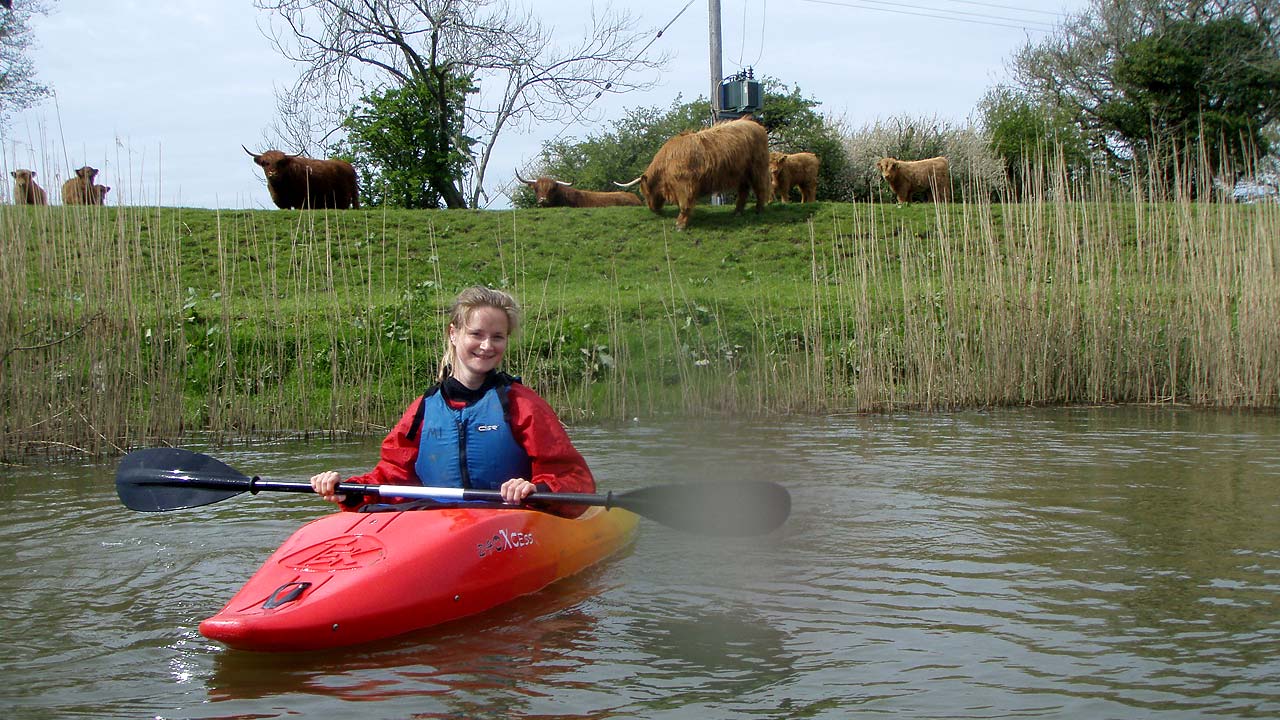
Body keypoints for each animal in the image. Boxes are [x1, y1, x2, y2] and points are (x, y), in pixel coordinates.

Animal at [611, 114, 768, 228]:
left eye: (645, 191)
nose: (652, 209)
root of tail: (756, 125)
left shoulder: (685, 185)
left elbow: (684, 204)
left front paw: (680, 224)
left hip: (757, 168)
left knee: (761, 188)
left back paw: (759, 210)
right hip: (742, 173)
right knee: (744, 191)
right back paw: (737, 212)